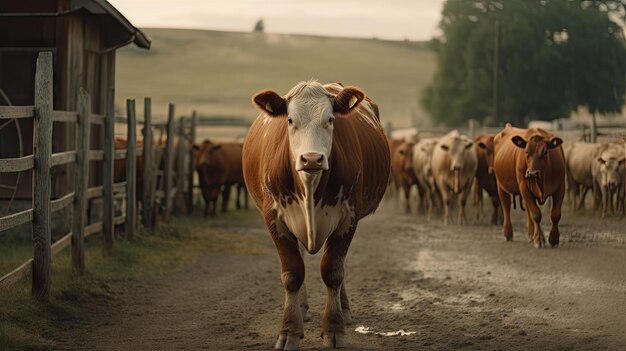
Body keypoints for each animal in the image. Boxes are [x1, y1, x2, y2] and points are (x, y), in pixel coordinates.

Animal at [241, 82, 388, 350]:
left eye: (330, 119)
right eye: (290, 120)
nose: (311, 158)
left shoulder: (348, 219)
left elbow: (333, 271)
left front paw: (334, 329)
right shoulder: (274, 219)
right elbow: (292, 274)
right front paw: (289, 331)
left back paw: (345, 309)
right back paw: (301, 307)